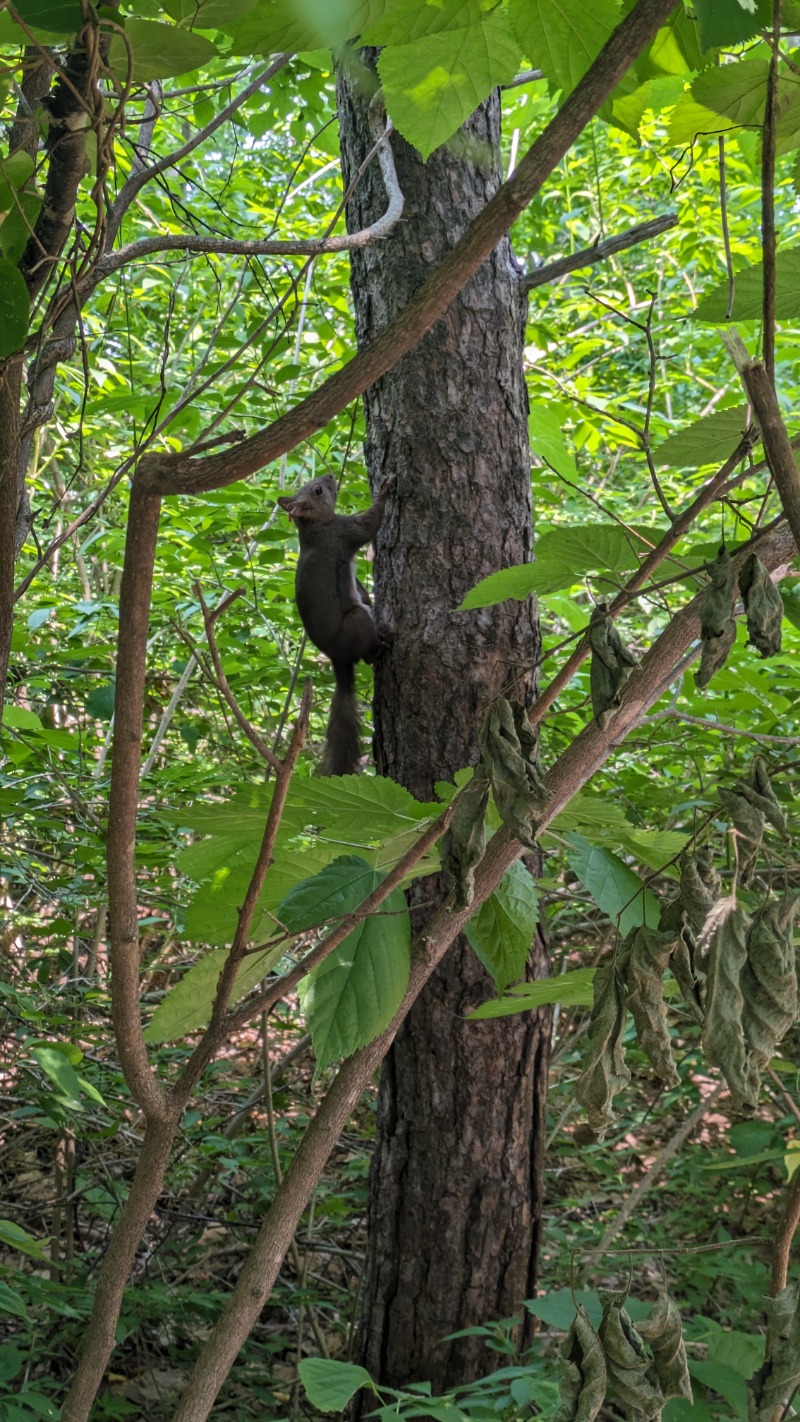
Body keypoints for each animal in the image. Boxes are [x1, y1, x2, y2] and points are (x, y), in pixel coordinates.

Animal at [277, 472, 392, 773]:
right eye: (318, 490)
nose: (329, 475)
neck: (316, 525)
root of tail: (338, 658)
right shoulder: (343, 532)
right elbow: (368, 525)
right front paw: (385, 491)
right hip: (358, 621)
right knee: (368, 654)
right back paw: (381, 645)